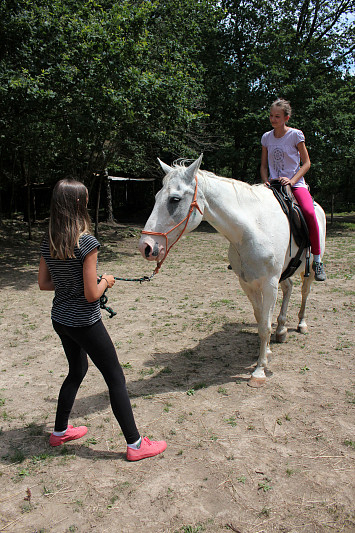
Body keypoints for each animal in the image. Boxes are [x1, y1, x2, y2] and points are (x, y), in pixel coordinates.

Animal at [138, 156, 326, 384]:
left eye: (175, 199)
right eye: (157, 196)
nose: (146, 246)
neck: (253, 229)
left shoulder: (269, 283)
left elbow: (265, 325)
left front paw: (259, 371)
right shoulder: (247, 283)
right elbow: (261, 319)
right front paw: (266, 352)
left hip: (307, 269)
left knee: (305, 292)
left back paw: (301, 324)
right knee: (288, 288)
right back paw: (281, 330)